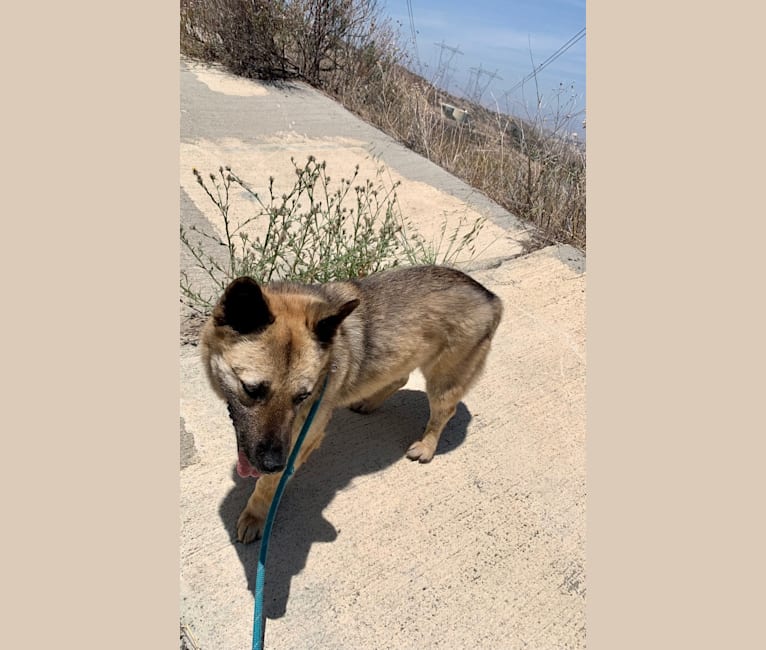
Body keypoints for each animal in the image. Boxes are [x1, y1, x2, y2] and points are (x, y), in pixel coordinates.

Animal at [202, 264, 504, 540]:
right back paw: (368, 403)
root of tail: (490, 296)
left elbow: (268, 485)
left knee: (444, 411)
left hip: (444, 380)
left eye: (302, 396)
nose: (274, 462)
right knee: (400, 377)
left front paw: (256, 514)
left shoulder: (304, 436)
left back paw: (427, 445)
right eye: (252, 390)